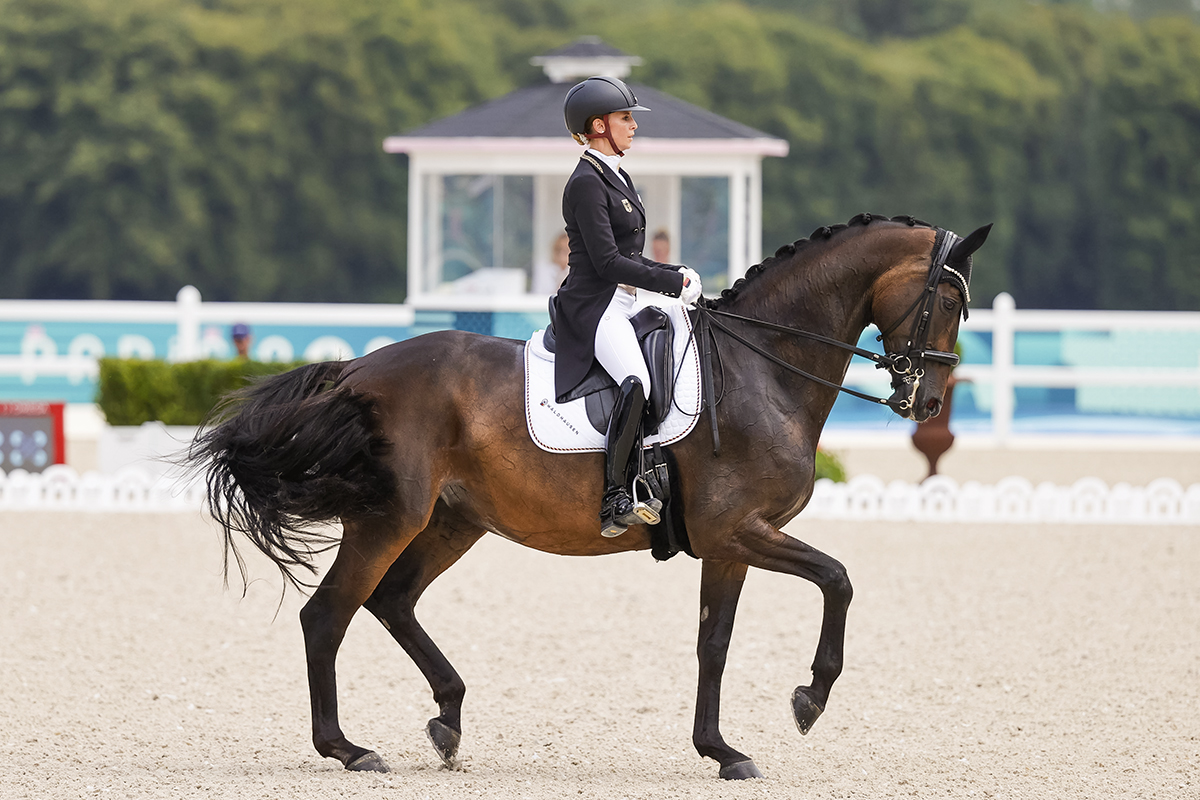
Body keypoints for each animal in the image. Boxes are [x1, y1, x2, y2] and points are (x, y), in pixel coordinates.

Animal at [189, 212, 993, 782]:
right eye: (950, 297)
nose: (927, 402)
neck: (761, 370)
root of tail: (359, 368)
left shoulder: (729, 544)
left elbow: (714, 643)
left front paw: (721, 750)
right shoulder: (740, 530)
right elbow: (839, 579)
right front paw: (809, 700)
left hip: (451, 523)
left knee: (391, 602)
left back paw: (448, 719)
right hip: (390, 518)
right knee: (329, 615)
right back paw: (349, 749)